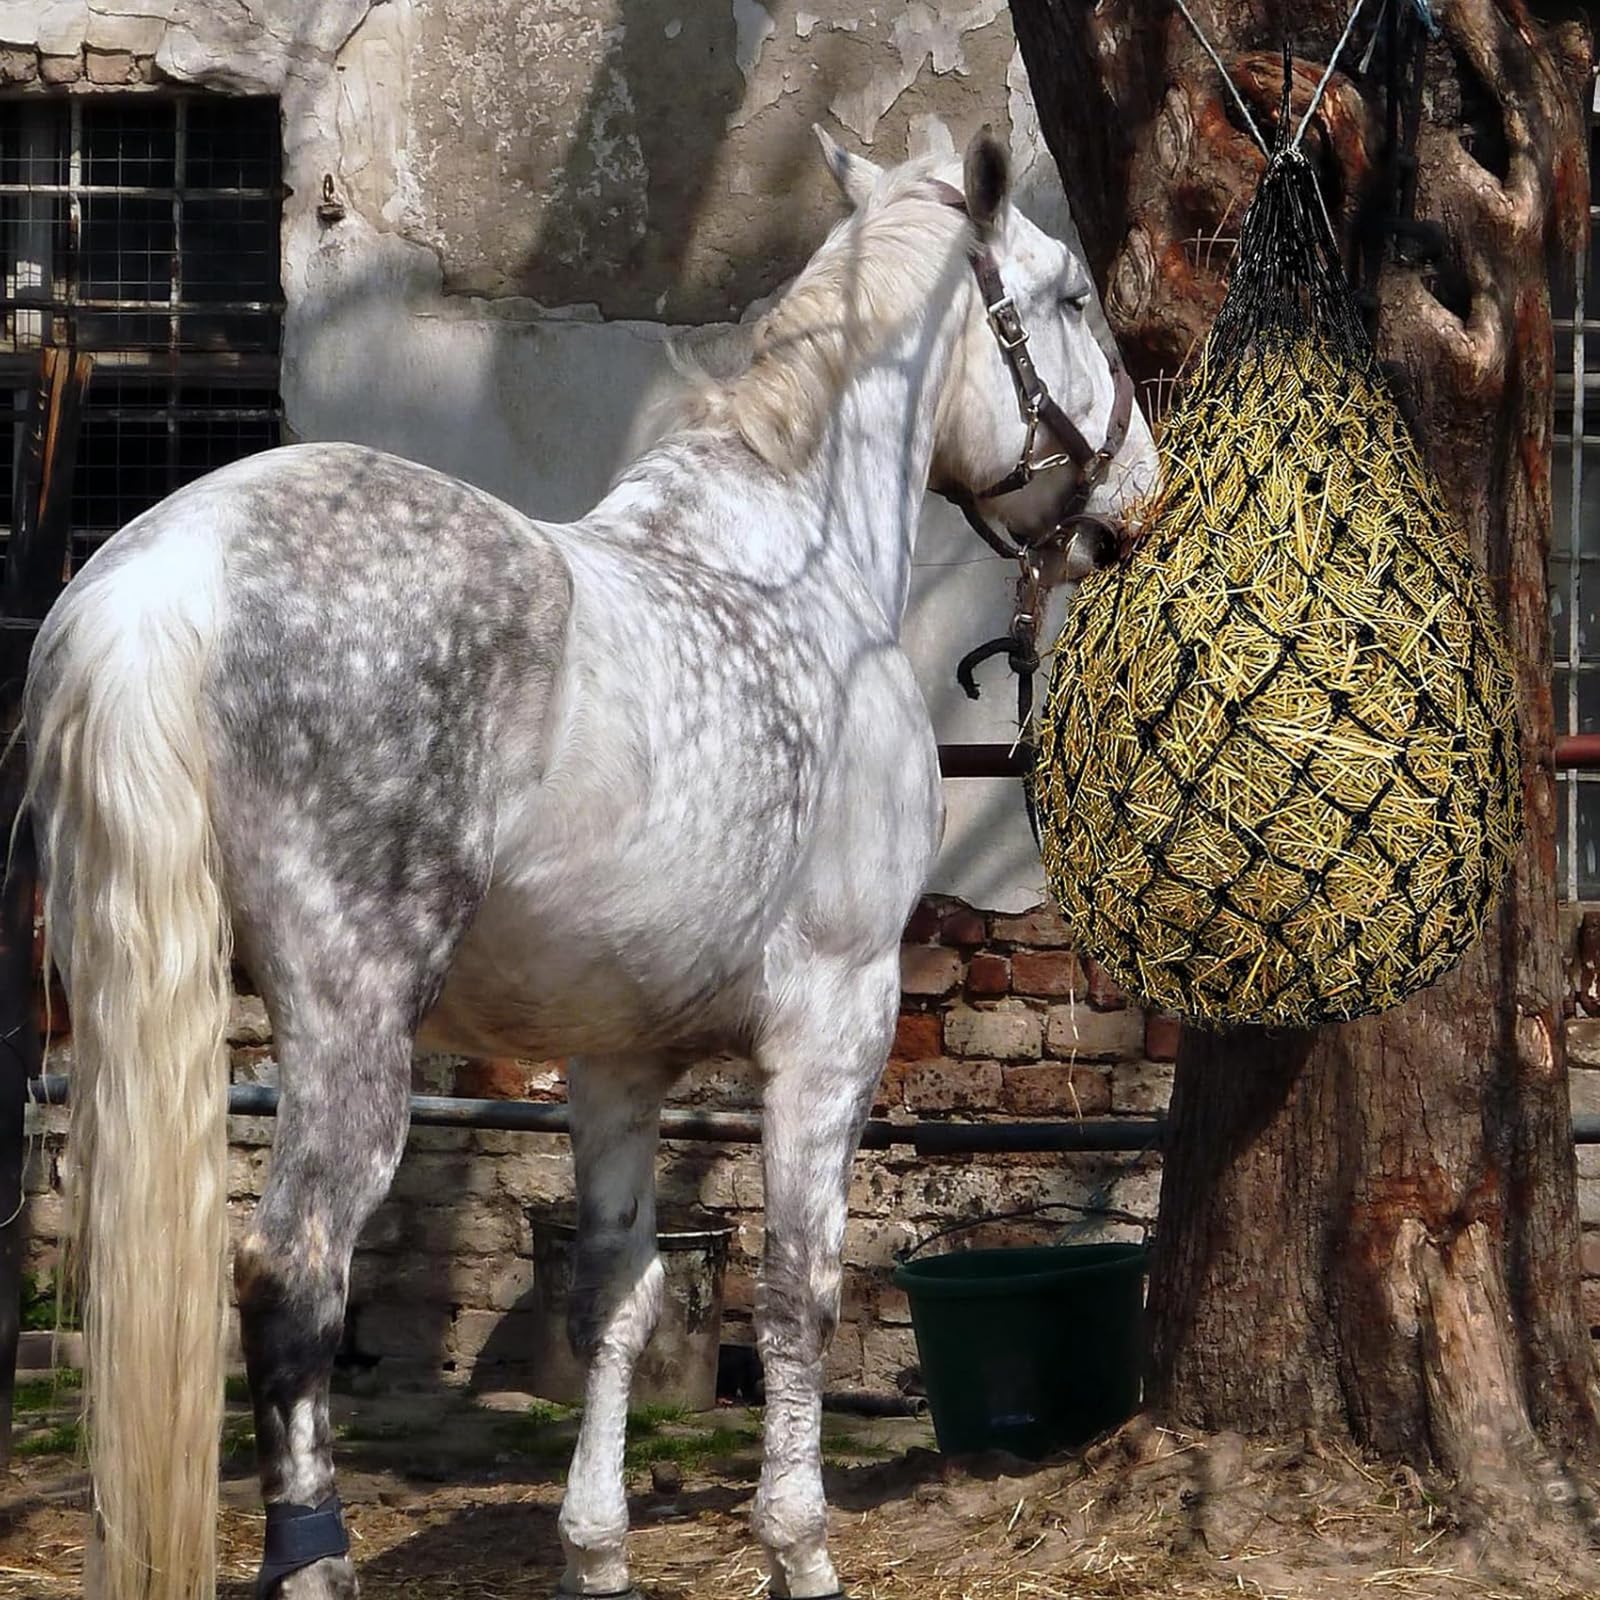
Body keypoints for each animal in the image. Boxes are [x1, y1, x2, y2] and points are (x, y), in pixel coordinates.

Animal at [24, 125, 1155, 1600]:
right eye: (1071, 294)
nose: (1134, 502)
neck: (794, 568)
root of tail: (175, 569)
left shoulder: (618, 1058)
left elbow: (617, 1297)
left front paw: (597, 1549)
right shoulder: (836, 1023)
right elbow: (798, 1289)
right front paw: (799, 1548)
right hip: (348, 1018)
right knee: (292, 1281)